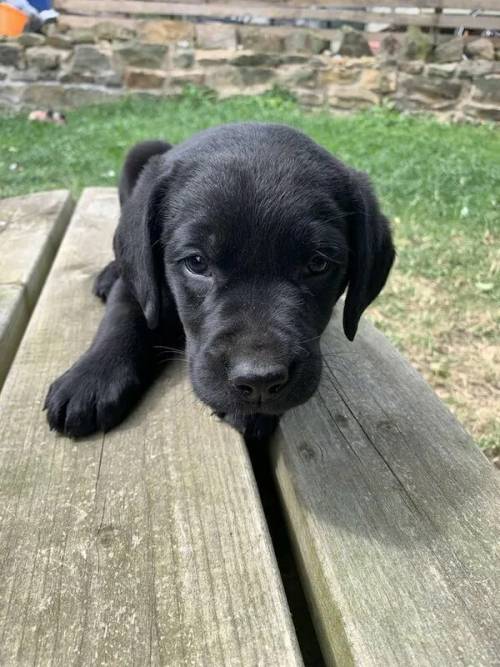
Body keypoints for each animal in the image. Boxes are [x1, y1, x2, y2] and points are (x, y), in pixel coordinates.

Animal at [44, 122, 394, 440]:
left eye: (318, 264)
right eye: (197, 263)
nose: (259, 381)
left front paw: (251, 412)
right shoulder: (141, 282)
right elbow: (124, 314)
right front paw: (91, 378)